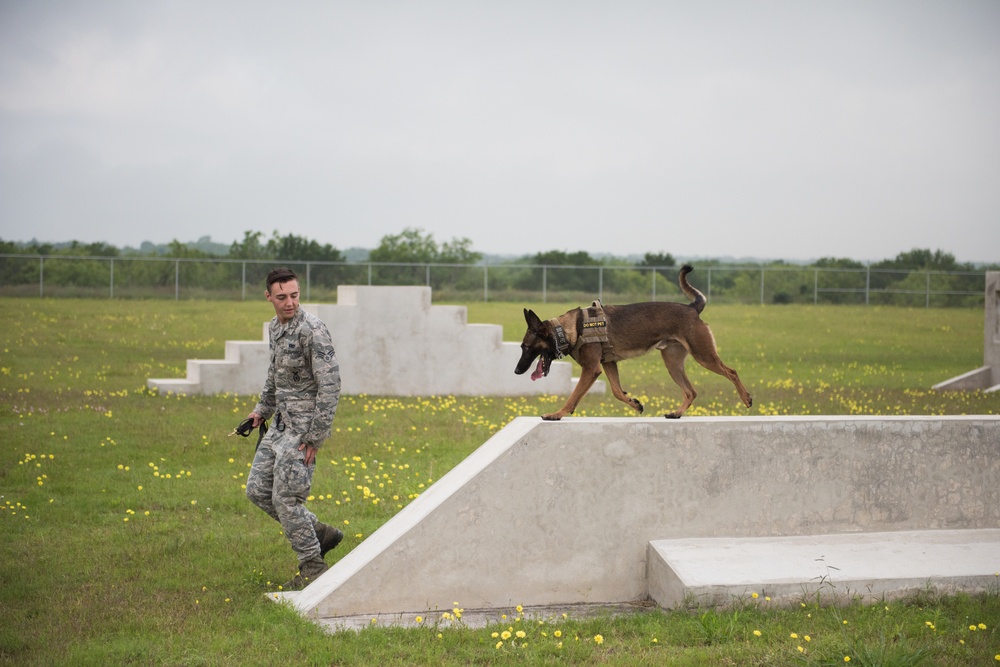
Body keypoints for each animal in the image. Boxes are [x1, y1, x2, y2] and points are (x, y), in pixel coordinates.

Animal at [516, 264, 752, 420]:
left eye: (526, 347)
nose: (517, 371)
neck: (569, 328)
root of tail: (692, 307)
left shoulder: (591, 369)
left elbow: (573, 396)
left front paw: (557, 414)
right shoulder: (608, 364)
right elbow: (617, 391)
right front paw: (635, 404)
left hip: (703, 355)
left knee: (731, 372)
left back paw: (746, 398)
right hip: (673, 364)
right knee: (691, 391)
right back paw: (676, 413)